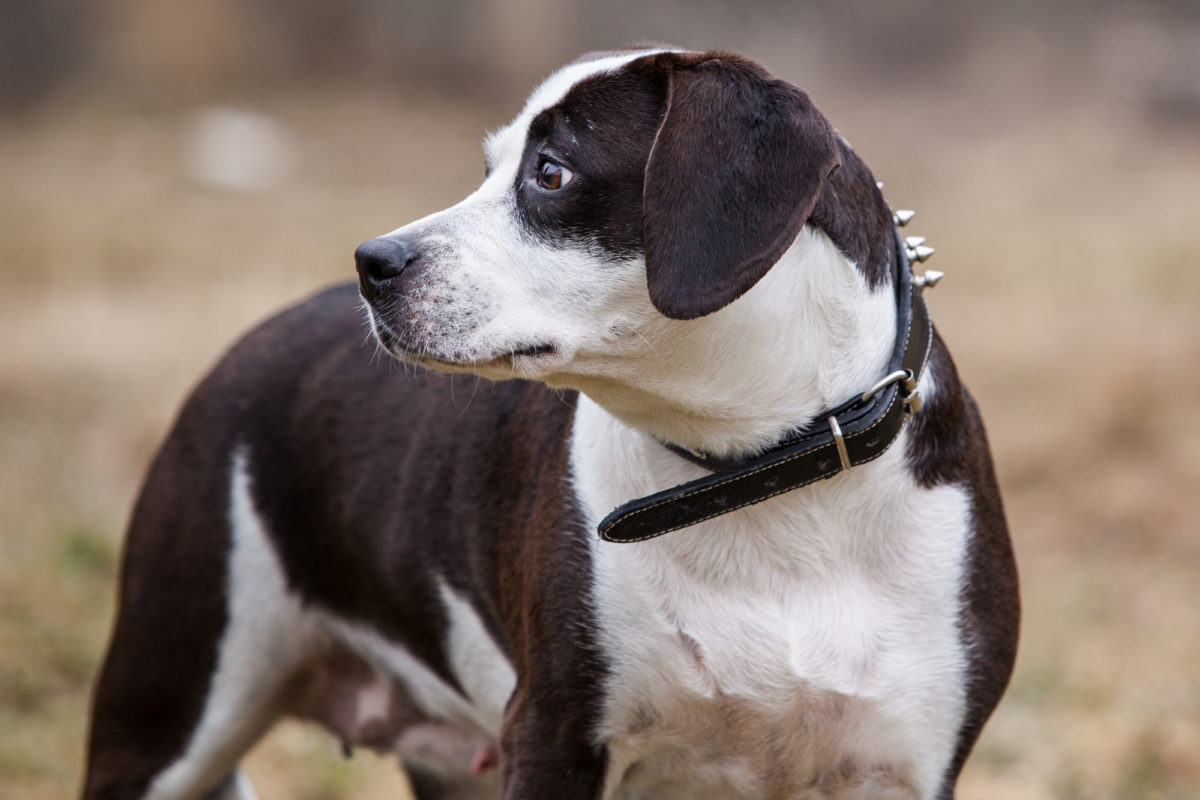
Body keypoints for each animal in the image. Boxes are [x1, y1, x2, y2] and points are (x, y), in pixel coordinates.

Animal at [84, 45, 1017, 800]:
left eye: (552, 173)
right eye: (492, 166)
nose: (372, 262)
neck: (760, 478)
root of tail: (248, 346)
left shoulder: (904, 763)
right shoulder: (550, 741)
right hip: (163, 716)